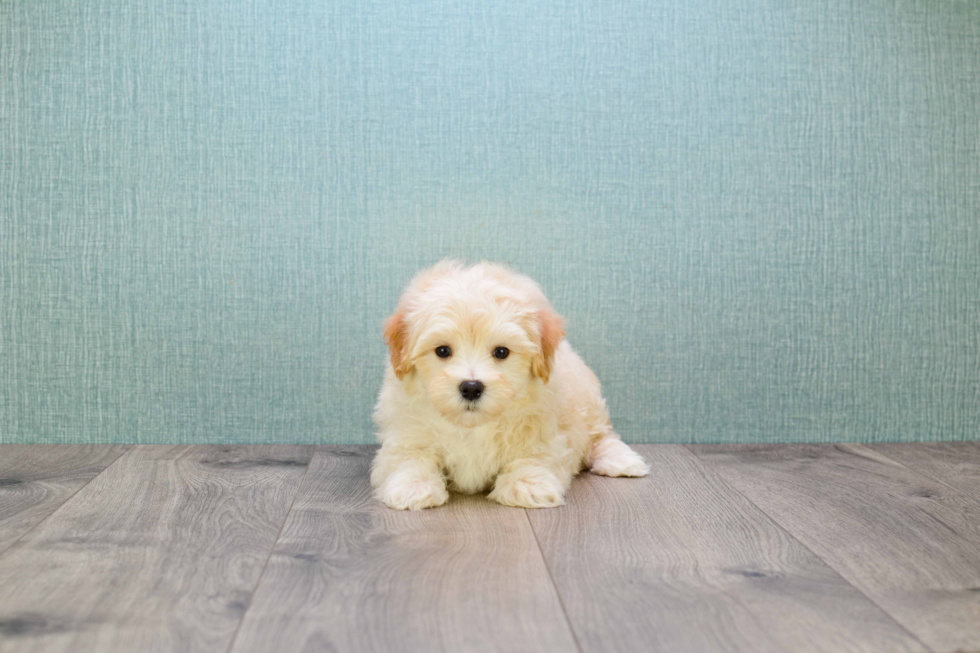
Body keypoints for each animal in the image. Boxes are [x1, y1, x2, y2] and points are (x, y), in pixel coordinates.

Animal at [374, 260, 652, 510]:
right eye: (442, 351)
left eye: (501, 352)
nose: (471, 387)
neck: (473, 426)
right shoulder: (407, 431)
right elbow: (408, 457)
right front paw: (413, 485)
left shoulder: (544, 431)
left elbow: (534, 456)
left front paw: (527, 485)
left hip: (589, 403)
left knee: (601, 435)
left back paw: (621, 460)